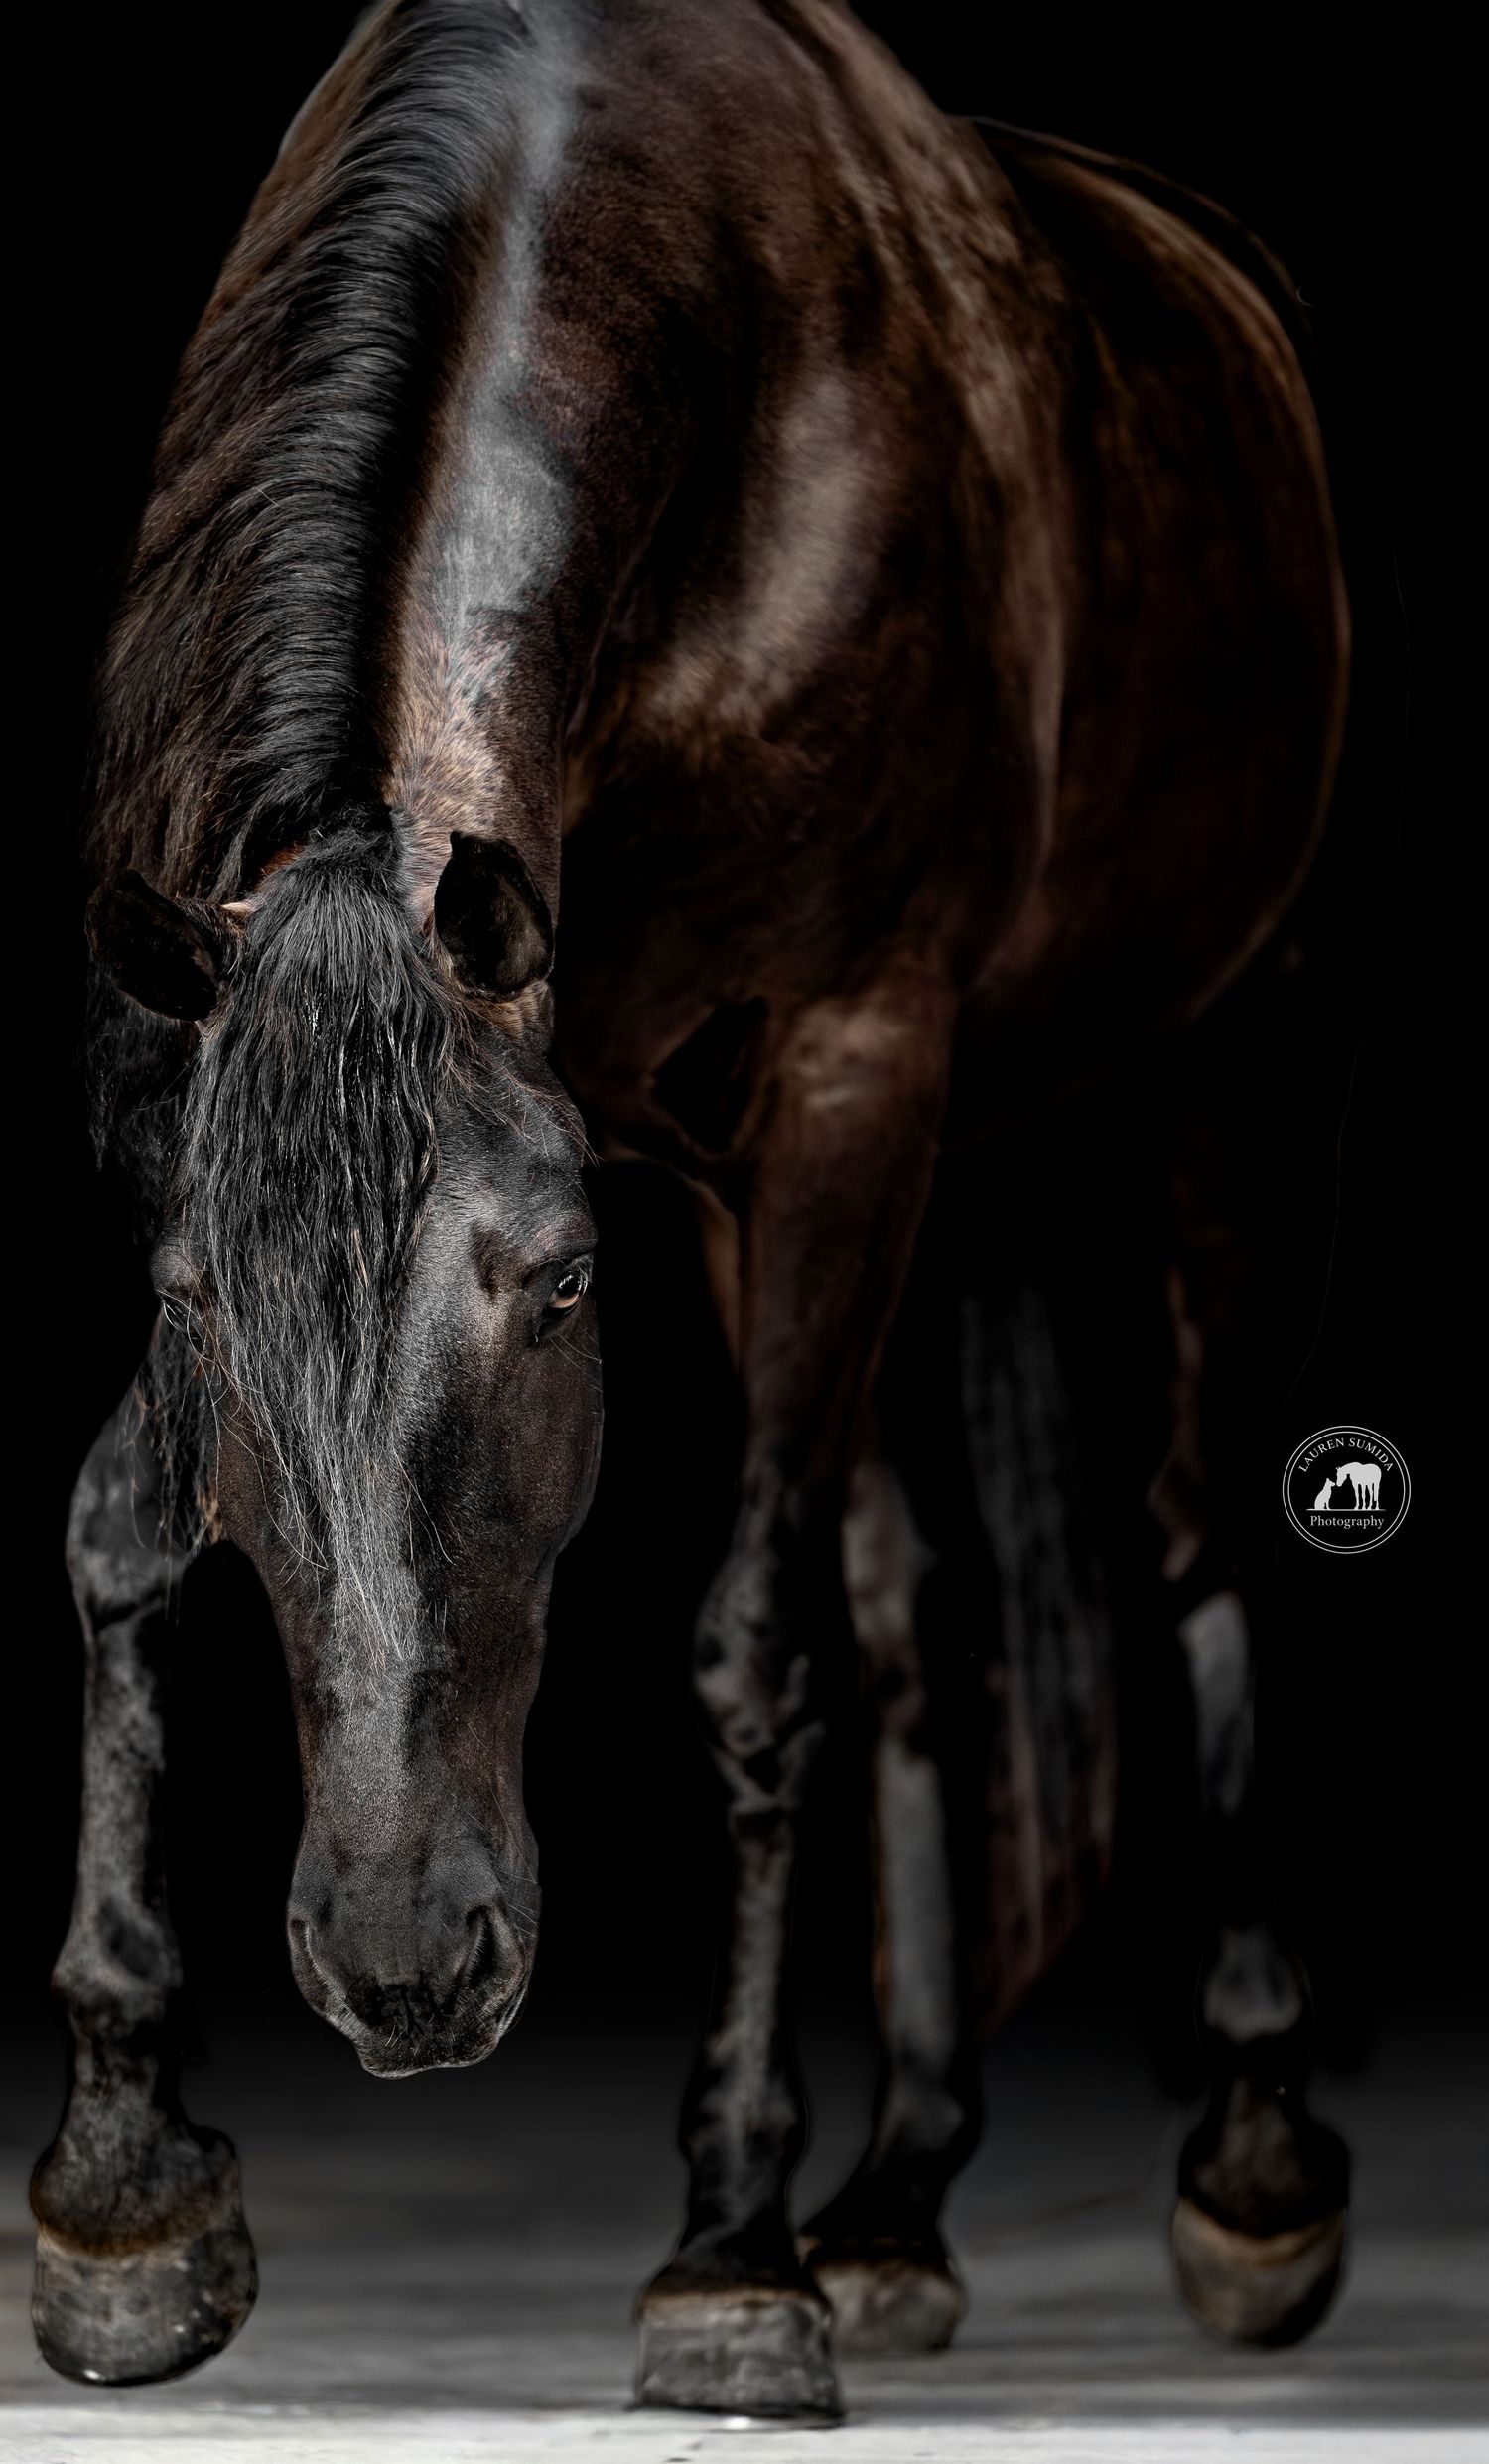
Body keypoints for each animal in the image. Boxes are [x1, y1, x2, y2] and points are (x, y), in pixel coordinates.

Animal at [34, 0, 1351, 2419]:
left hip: (1216, 1053)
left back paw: (1250, 2160)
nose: (405, 1956)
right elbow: (119, 1540)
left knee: (1197, 1522)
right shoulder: (189, 1091)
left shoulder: (842, 1082)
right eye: (192, 1307)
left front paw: (729, 2251)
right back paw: (903, 2196)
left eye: (563, 1286)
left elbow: (752, 1646)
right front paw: (122, 2192)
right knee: (919, 1609)